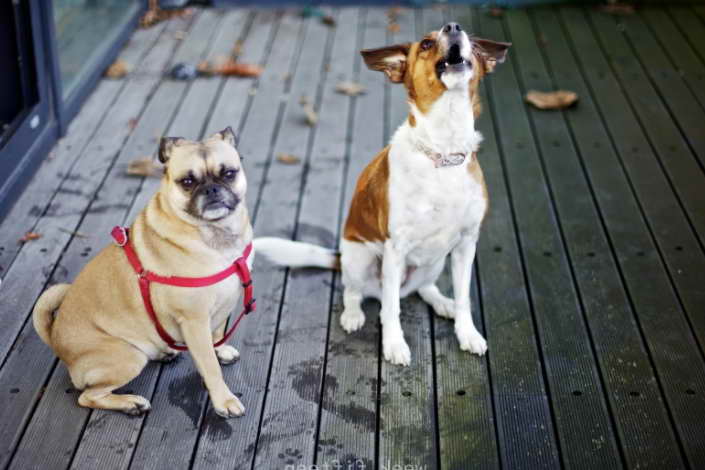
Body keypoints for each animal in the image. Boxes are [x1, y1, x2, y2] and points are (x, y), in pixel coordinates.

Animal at [33, 126, 253, 416]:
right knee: (88, 396)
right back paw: (130, 403)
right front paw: (223, 399)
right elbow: (209, 365)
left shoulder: (223, 304)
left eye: (228, 173)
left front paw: (221, 349)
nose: (212, 189)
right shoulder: (194, 320)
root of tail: (55, 338)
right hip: (128, 357)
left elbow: (216, 333)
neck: (216, 235)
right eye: (187, 182)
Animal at [256, 22, 508, 366]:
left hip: (435, 261)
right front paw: (394, 344)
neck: (442, 151)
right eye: (426, 43)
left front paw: (466, 333)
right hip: (361, 257)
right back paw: (352, 315)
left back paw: (442, 302)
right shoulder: (395, 249)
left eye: (469, 38)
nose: (453, 27)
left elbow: (464, 298)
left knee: (423, 288)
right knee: (355, 292)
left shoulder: (466, 244)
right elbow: (391, 310)